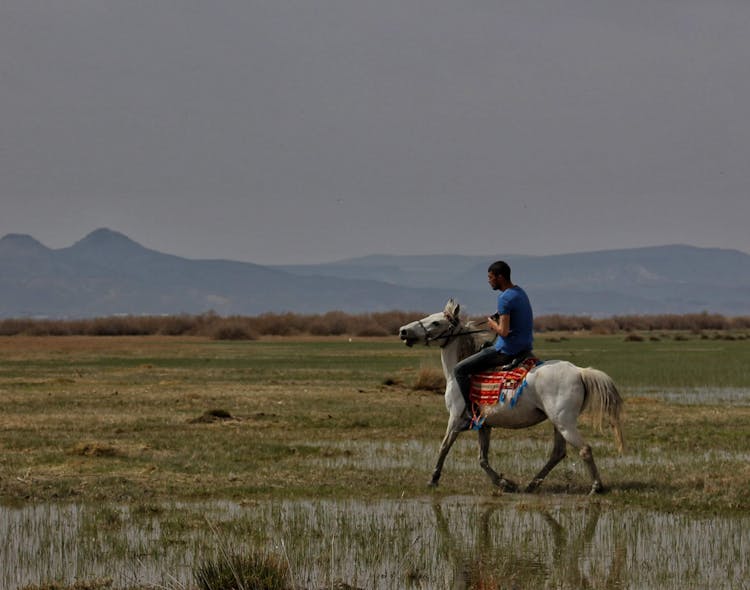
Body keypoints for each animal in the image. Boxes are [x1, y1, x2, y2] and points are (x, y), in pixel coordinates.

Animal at [400, 300, 628, 494]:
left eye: (436, 322)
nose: (403, 331)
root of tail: (579, 371)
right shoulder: (484, 425)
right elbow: (482, 458)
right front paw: (505, 483)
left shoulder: (455, 418)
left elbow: (444, 447)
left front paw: (433, 479)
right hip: (559, 423)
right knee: (558, 453)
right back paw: (531, 484)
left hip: (564, 423)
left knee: (584, 450)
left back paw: (596, 487)